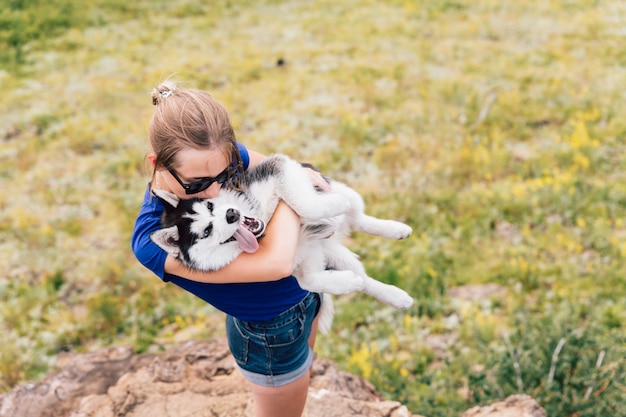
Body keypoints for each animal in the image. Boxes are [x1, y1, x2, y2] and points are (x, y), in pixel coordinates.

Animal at [151, 153, 412, 332]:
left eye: (210, 206)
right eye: (206, 231)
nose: (232, 214)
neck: (262, 223)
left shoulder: (277, 167)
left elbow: (303, 204)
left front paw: (333, 205)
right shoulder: (294, 261)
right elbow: (307, 280)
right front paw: (345, 283)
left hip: (341, 190)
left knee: (357, 217)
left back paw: (394, 229)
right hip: (334, 253)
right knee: (364, 279)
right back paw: (394, 295)